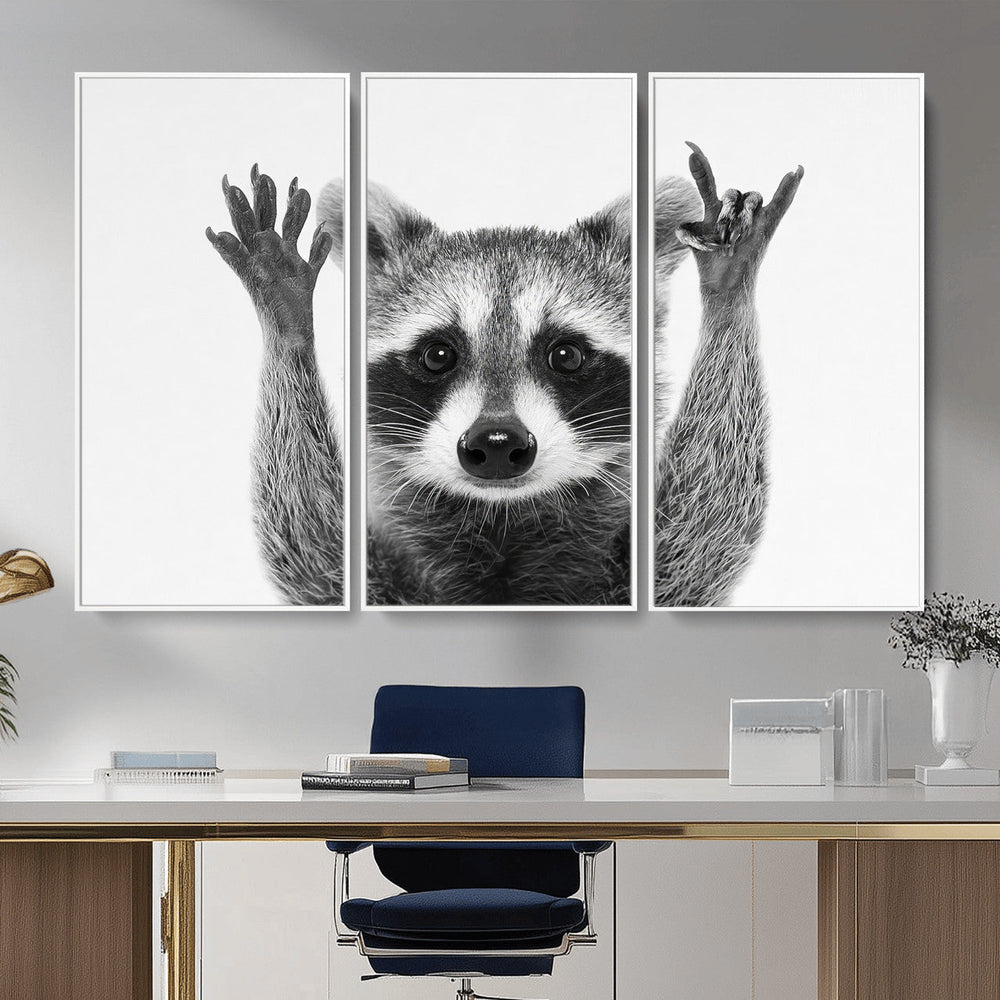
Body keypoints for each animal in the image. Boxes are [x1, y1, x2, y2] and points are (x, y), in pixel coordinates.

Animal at [206, 144, 800, 607]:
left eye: (566, 356)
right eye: (437, 355)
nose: (496, 443)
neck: (503, 523)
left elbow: (704, 532)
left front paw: (728, 289)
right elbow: (313, 552)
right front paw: (286, 315)